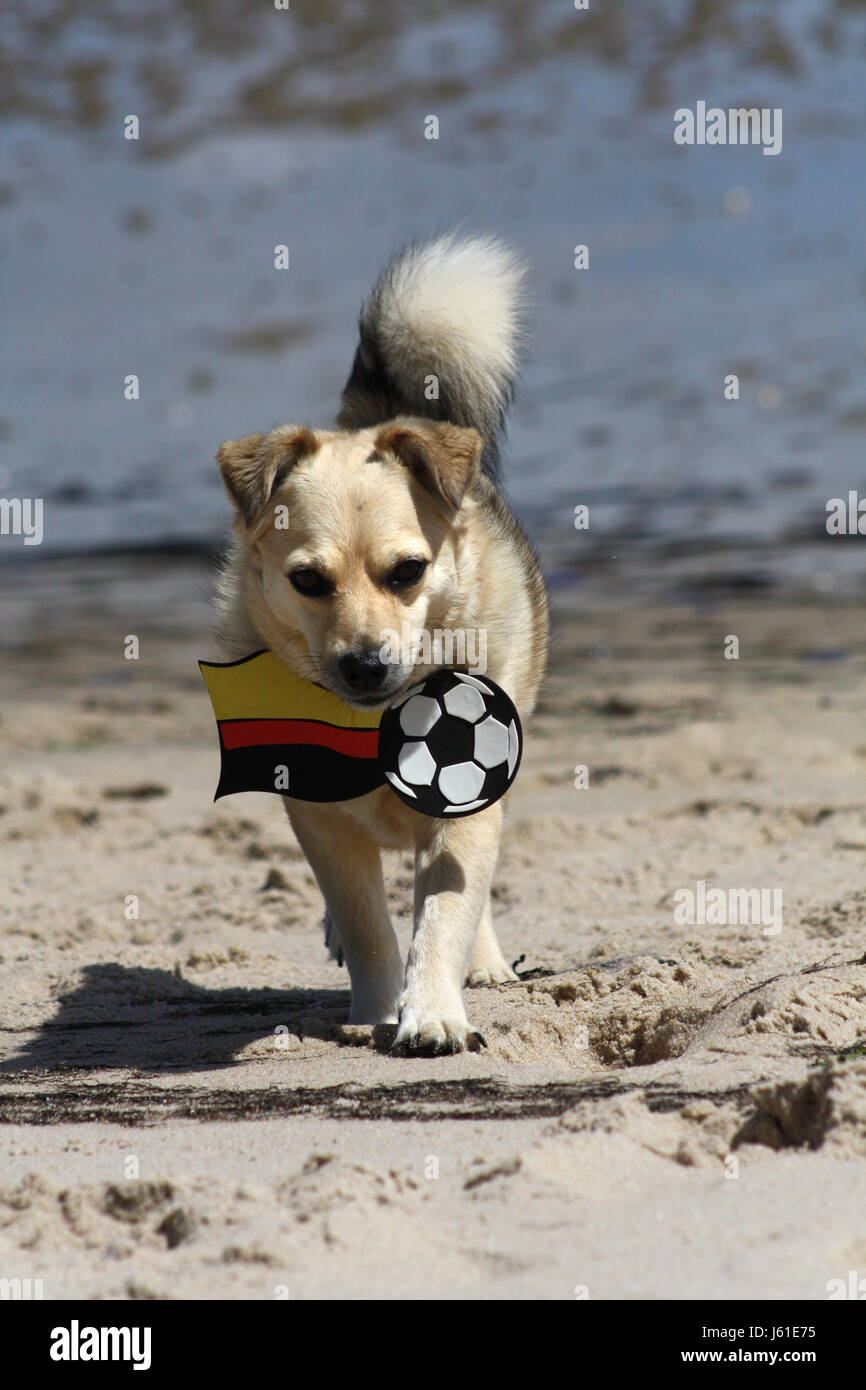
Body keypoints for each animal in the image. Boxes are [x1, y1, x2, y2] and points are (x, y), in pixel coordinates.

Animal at [215, 233, 547, 1050]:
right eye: (307, 580)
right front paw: (374, 1011)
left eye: (408, 571)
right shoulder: (321, 823)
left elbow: (447, 912)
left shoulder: (468, 813)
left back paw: (484, 966)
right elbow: (367, 923)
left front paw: (432, 1011)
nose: (365, 664)